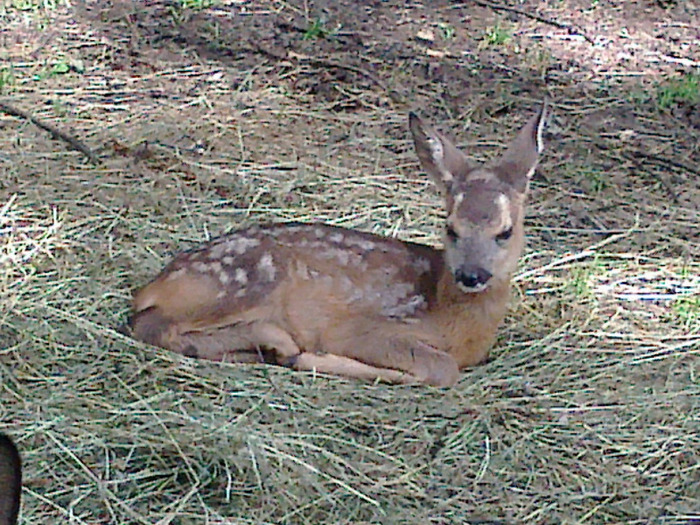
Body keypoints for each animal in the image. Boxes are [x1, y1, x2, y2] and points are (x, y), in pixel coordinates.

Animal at [129, 103, 548, 388]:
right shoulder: (366, 327)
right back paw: (281, 346)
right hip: (244, 282)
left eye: (505, 232)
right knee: (151, 325)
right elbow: (442, 369)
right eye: (451, 229)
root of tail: (157, 282)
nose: (472, 274)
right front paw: (321, 361)